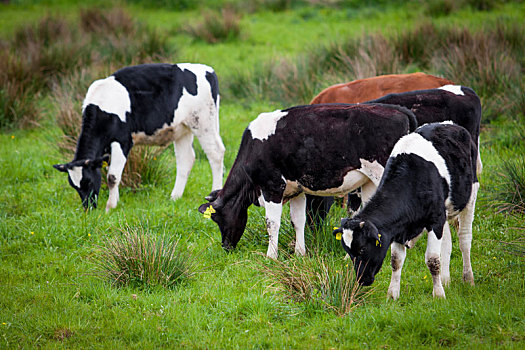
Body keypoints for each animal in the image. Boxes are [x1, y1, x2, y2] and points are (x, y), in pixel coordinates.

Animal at [53, 63, 225, 211]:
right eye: (74, 185)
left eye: (88, 181)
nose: (88, 208)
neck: (103, 107)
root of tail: (208, 70)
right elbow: (111, 172)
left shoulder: (123, 140)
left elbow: (112, 176)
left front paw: (110, 207)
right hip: (182, 128)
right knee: (186, 159)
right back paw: (175, 197)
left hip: (203, 122)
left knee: (215, 153)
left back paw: (214, 194)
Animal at [199, 102, 416, 258]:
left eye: (217, 218)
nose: (226, 246)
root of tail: (398, 110)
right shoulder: (296, 190)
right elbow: (298, 221)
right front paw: (300, 253)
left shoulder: (272, 187)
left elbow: (272, 223)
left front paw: (271, 256)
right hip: (369, 182)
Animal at [332, 122, 478, 298]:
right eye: (348, 251)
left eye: (362, 248)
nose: (362, 280)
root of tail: (450, 124)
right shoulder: (399, 227)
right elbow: (396, 260)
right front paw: (392, 294)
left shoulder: (435, 219)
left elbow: (432, 260)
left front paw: (438, 294)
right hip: (446, 211)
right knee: (447, 243)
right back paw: (446, 280)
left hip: (471, 194)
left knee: (464, 240)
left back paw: (468, 279)